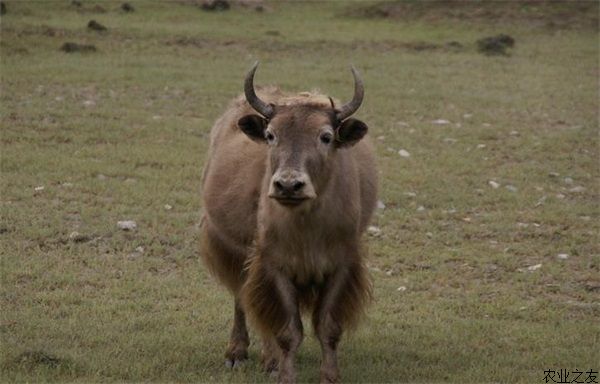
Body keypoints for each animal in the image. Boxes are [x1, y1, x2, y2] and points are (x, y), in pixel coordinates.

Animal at [204, 61, 378, 382]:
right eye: (271, 135)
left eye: (325, 136)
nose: (288, 185)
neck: (306, 224)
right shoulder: (273, 264)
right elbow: (286, 330)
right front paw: (284, 373)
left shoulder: (341, 265)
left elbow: (328, 327)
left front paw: (329, 377)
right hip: (235, 253)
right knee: (242, 299)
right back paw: (241, 354)